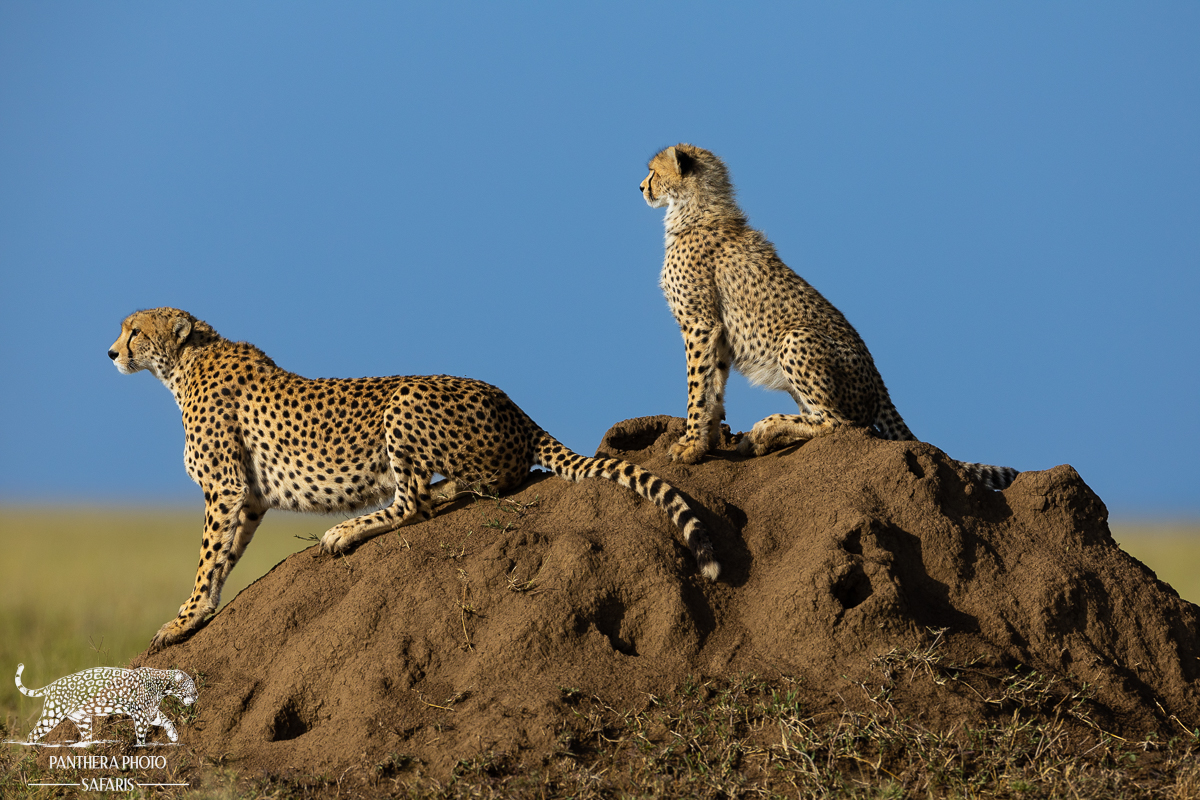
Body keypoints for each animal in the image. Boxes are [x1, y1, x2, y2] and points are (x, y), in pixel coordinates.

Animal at [15, 663, 197, 745]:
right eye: (192, 687)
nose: (196, 697)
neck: (162, 686)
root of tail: (51, 685)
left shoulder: (150, 712)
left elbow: (166, 720)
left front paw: (173, 735)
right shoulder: (140, 714)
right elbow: (141, 734)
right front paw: (142, 747)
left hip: (82, 720)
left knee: (85, 738)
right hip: (52, 715)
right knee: (33, 734)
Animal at [108, 308, 720, 649]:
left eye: (134, 330)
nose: (111, 351)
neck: (184, 364)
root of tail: (514, 404)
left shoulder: (226, 489)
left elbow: (208, 555)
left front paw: (183, 621)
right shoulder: (250, 497)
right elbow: (225, 556)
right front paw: (200, 612)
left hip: (403, 401)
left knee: (417, 503)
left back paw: (347, 531)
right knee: (468, 485)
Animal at [640, 143, 1018, 490]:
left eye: (654, 172)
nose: (640, 187)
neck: (694, 210)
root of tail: (879, 382)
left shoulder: (700, 324)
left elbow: (697, 387)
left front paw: (690, 445)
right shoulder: (715, 331)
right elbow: (713, 386)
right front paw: (707, 440)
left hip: (796, 338)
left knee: (841, 423)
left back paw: (766, 429)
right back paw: (764, 439)